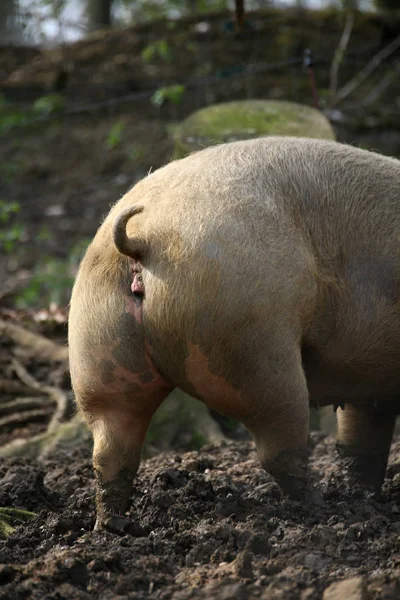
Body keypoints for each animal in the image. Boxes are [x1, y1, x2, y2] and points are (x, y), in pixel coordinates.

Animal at [68, 136, 400, 528]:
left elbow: (362, 437)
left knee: (111, 450)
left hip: (97, 355)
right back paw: (322, 509)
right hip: (255, 347)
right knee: (280, 447)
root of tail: (141, 237)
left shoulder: (371, 380)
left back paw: (112, 528)